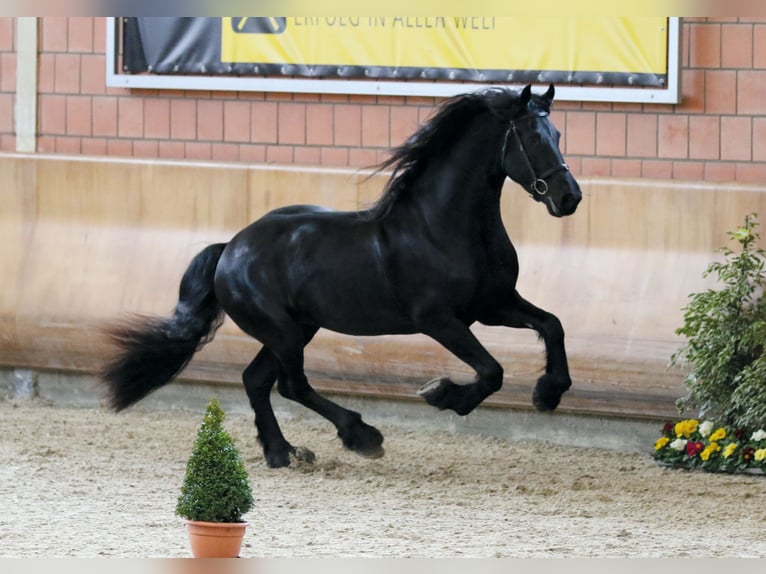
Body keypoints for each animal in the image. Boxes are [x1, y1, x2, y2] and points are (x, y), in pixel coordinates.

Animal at [100, 84, 584, 468]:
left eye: (559, 135)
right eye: (533, 138)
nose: (569, 197)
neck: (443, 226)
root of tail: (229, 249)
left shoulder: (494, 305)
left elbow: (553, 325)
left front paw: (548, 393)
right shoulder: (439, 320)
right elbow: (491, 370)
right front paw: (442, 394)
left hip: (297, 328)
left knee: (257, 380)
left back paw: (283, 453)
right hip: (282, 332)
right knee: (291, 384)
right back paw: (361, 436)